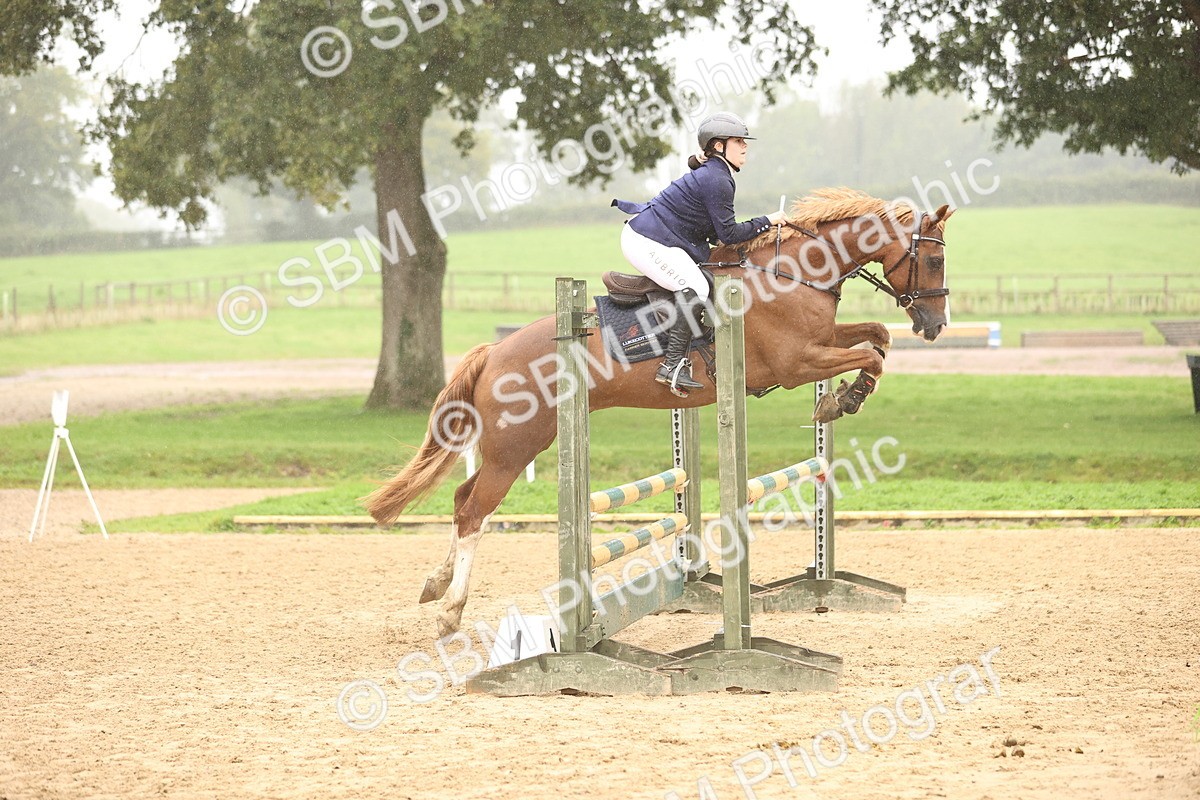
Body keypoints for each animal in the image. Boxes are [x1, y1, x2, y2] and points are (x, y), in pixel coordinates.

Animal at [365, 187, 955, 638]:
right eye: (934, 259)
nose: (933, 325)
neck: (792, 275)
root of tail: (494, 353)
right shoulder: (795, 363)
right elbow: (869, 353)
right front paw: (843, 399)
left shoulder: (820, 343)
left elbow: (876, 339)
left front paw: (845, 395)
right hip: (517, 446)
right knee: (473, 511)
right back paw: (450, 612)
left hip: (518, 444)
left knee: (464, 500)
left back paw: (435, 584)